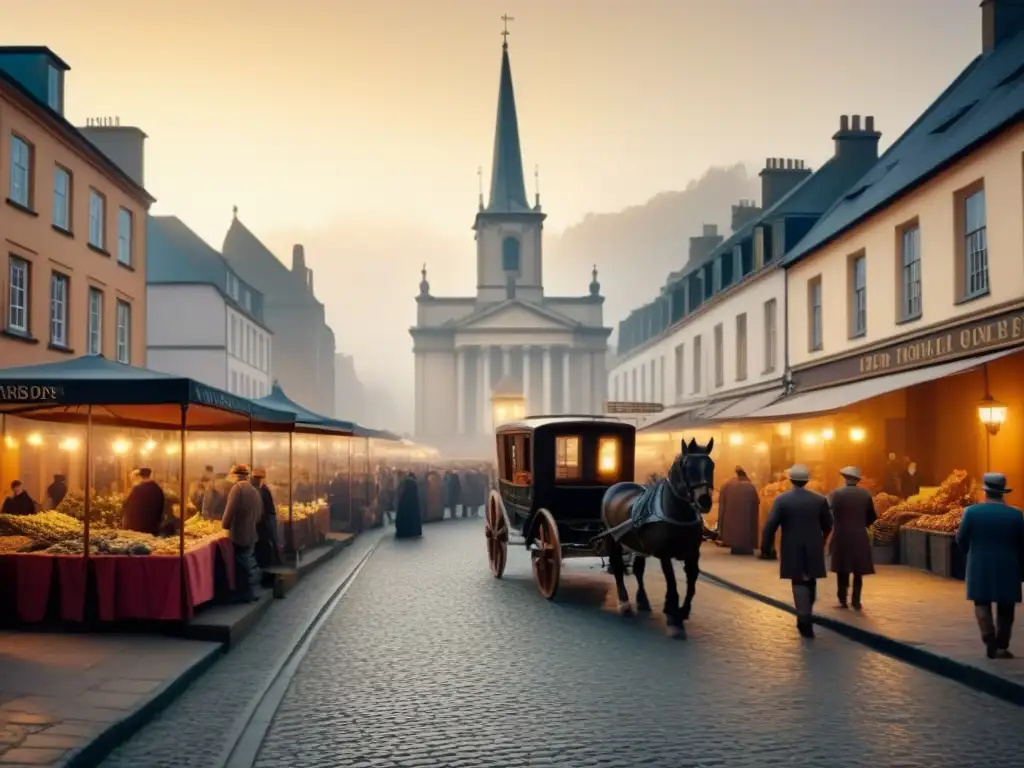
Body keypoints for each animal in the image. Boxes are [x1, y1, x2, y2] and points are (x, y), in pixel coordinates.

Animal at [598, 438, 712, 638]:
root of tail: (617, 486)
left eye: (711, 465)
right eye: (687, 466)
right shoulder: (664, 554)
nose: (704, 501)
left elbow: (691, 584)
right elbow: (672, 583)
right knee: (618, 567)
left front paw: (681, 611)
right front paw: (675, 619)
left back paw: (642, 600)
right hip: (613, 537)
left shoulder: (692, 553)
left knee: (638, 570)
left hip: (637, 544)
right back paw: (624, 602)